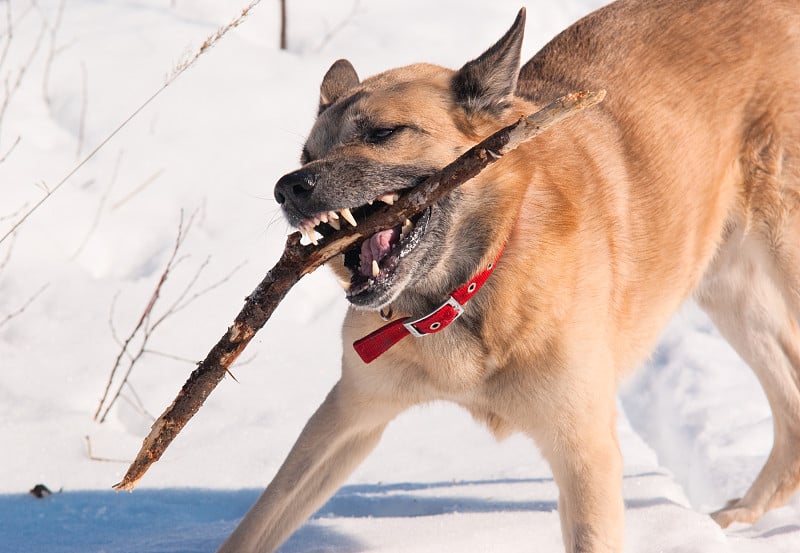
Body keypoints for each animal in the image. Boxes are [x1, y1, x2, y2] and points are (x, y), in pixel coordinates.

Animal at [217, 2, 800, 548]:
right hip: (727, 289)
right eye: (306, 153)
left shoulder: (584, 450)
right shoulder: (350, 413)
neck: (471, 282)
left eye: (383, 132)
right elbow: (258, 522)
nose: (288, 188)